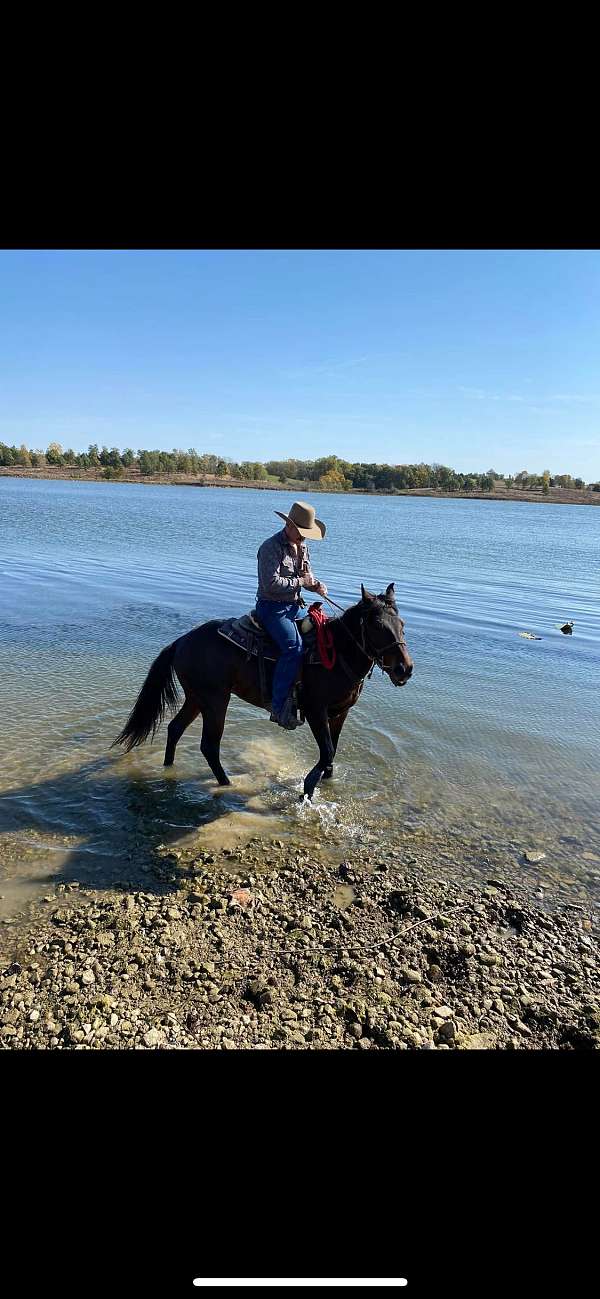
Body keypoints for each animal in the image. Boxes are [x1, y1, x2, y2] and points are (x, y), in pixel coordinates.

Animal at [112, 583, 413, 800]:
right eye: (377, 626)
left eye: (402, 625)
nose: (404, 669)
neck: (337, 653)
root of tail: (182, 640)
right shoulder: (316, 711)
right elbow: (327, 751)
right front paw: (307, 787)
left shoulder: (340, 713)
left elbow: (332, 753)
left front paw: (323, 782)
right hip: (215, 700)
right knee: (209, 745)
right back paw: (226, 784)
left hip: (196, 698)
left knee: (175, 729)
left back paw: (168, 768)